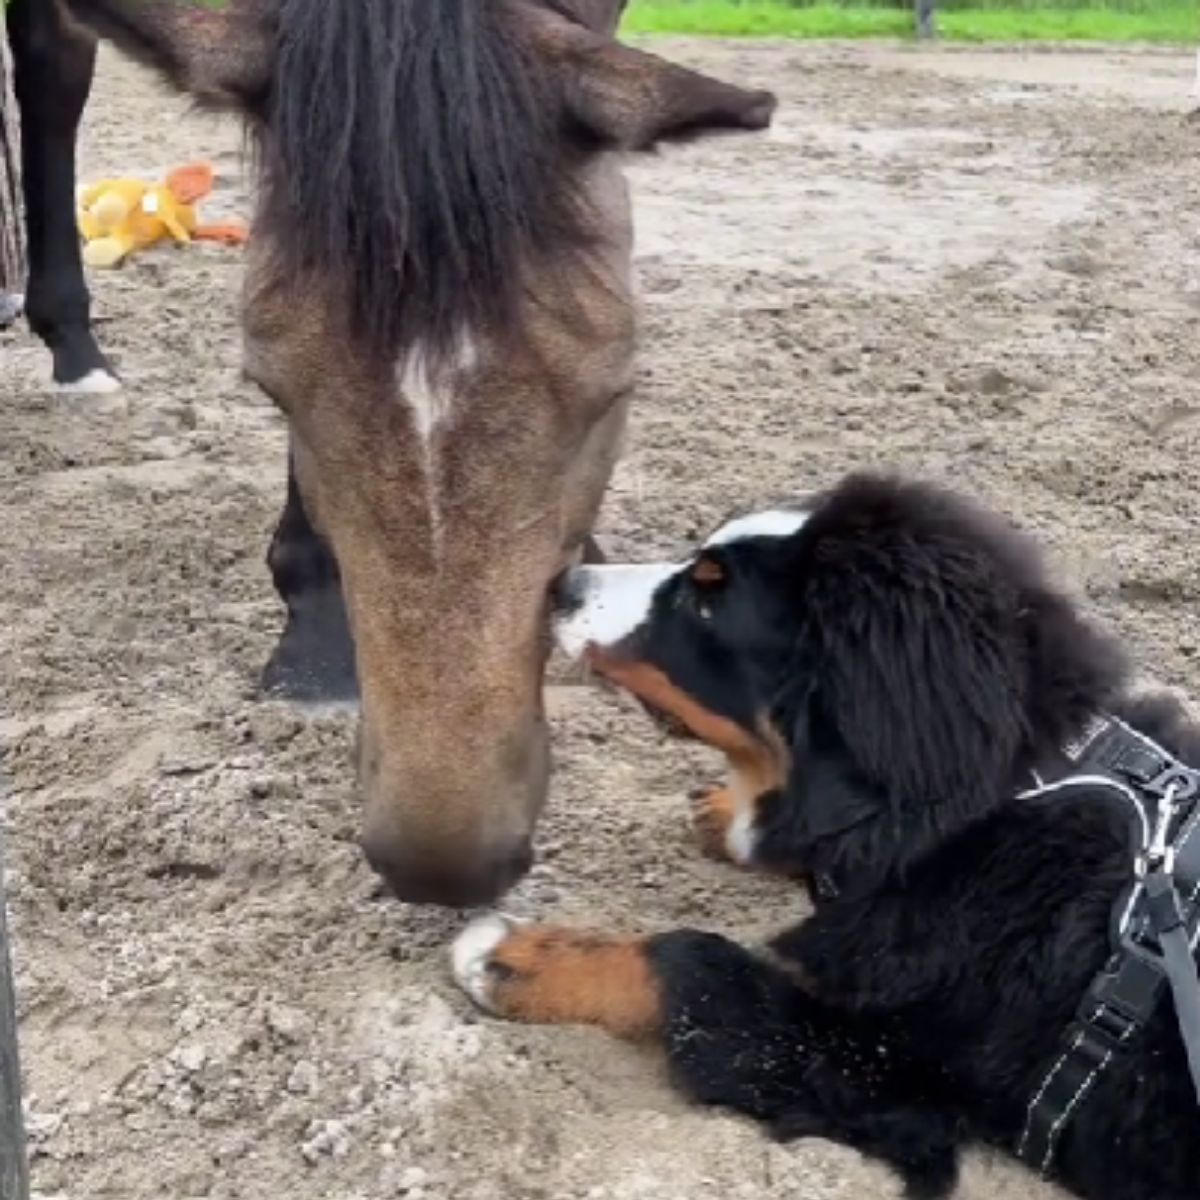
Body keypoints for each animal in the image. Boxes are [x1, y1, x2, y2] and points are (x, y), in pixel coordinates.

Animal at [451, 472, 1200, 1195]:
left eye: (707, 601)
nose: (561, 583)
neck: (990, 805)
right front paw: (730, 813)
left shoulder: (876, 1071)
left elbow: (689, 958)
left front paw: (519, 955)